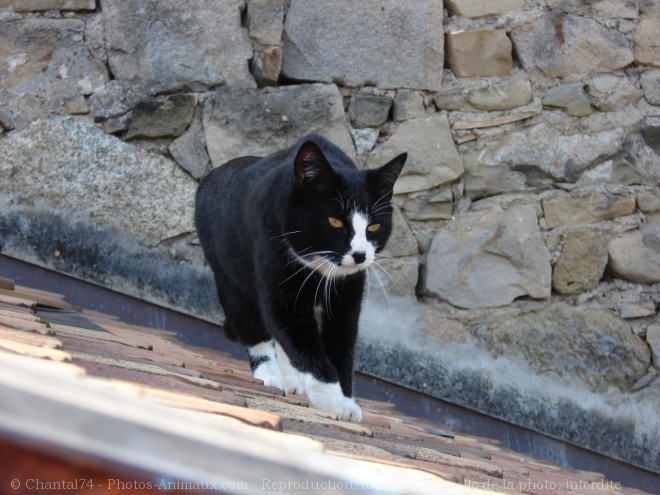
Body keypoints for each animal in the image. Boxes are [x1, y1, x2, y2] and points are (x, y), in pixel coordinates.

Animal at [193, 136, 404, 422]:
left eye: (374, 226)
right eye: (335, 221)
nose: (360, 255)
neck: (320, 268)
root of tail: (211, 175)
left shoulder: (348, 295)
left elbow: (341, 343)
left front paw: (346, 400)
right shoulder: (279, 284)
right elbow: (300, 338)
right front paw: (332, 400)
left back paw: (290, 377)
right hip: (228, 273)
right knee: (250, 322)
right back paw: (271, 375)